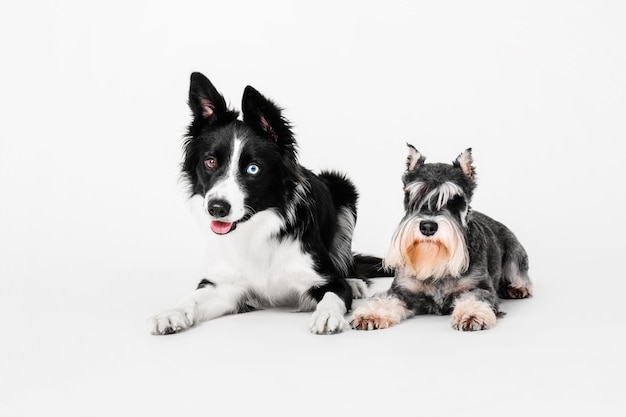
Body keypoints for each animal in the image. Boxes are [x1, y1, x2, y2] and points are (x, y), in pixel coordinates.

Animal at [150, 73, 386, 334]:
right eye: (210, 162)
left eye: (253, 169)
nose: (216, 208)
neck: (256, 228)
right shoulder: (224, 284)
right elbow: (192, 297)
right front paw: (171, 313)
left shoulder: (325, 279)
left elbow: (332, 296)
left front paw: (326, 315)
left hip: (343, 187)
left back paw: (354, 282)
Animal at [348, 145, 528, 330]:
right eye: (413, 197)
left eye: (454, 200)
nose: (427, 227)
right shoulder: (402, 290)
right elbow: (385, 300)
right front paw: (369, 314)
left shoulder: (479, 286)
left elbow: (476, 298)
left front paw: (471, 314)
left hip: (515, 253)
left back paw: (516, 288)